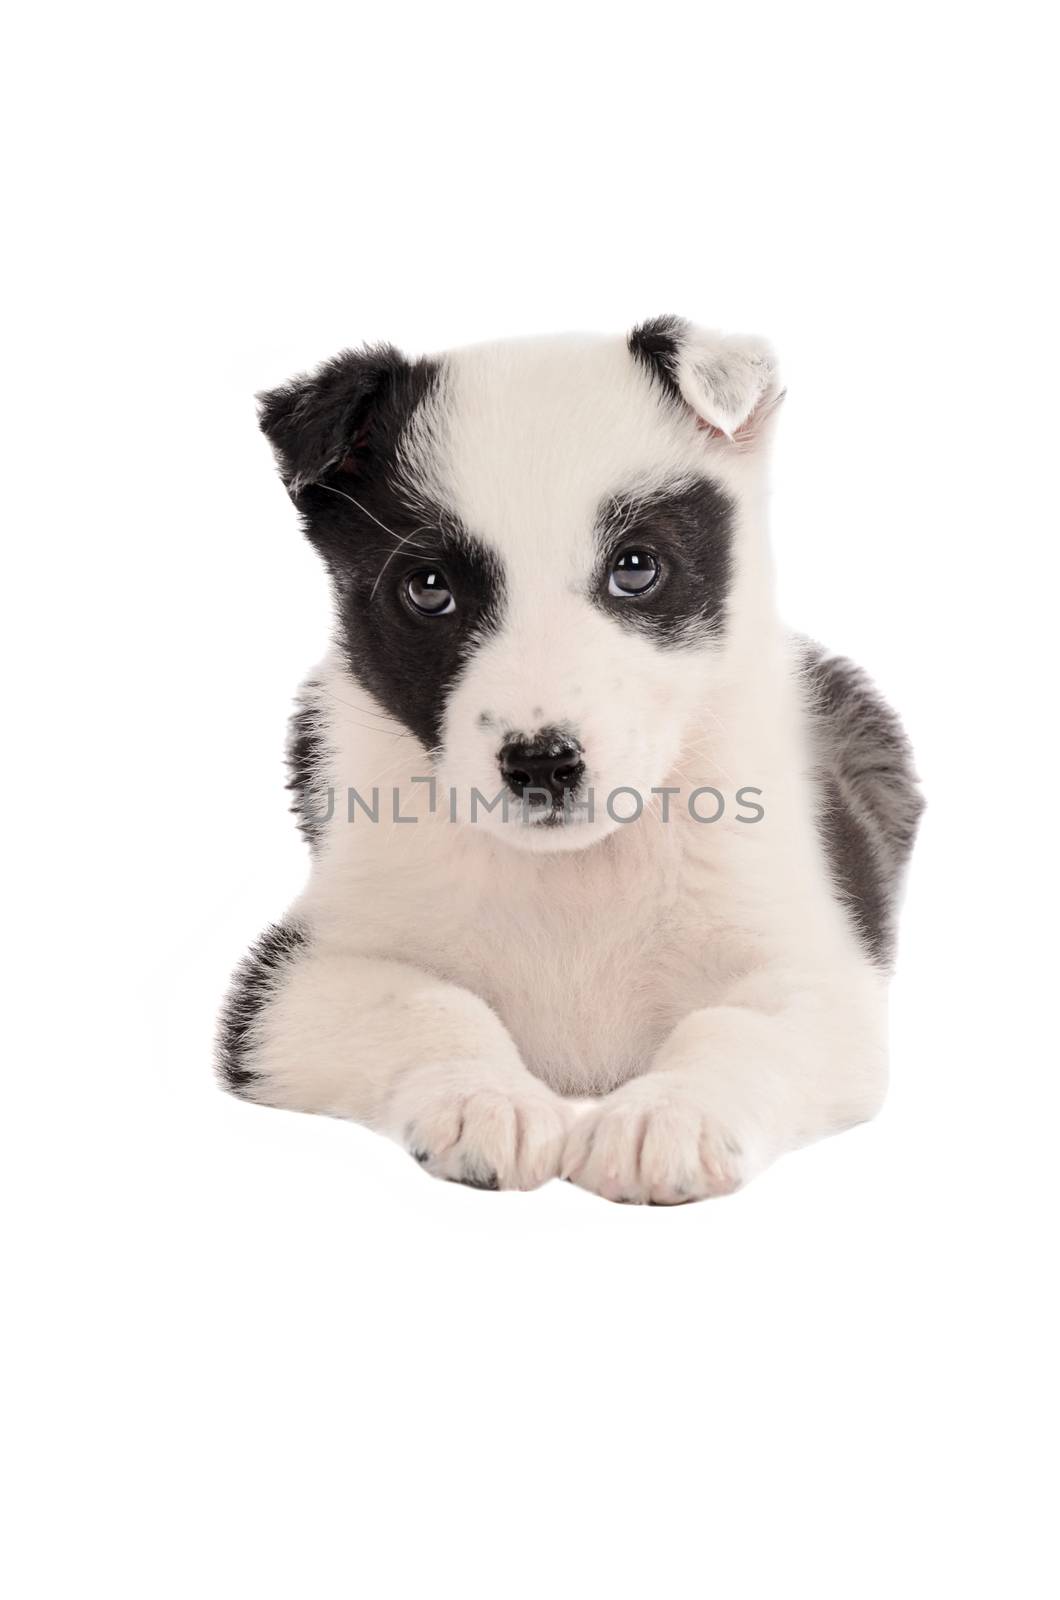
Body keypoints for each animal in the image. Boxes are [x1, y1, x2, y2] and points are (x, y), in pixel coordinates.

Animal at [217, 321, 922, 1203]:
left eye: (636, 567)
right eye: (428, 587)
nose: (542, 765)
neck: (578, 874)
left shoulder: (815, 974)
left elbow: (732, 1028)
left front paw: (667, 1120)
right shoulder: (293, 979)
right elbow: (427, 1005)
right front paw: (487, 1103)